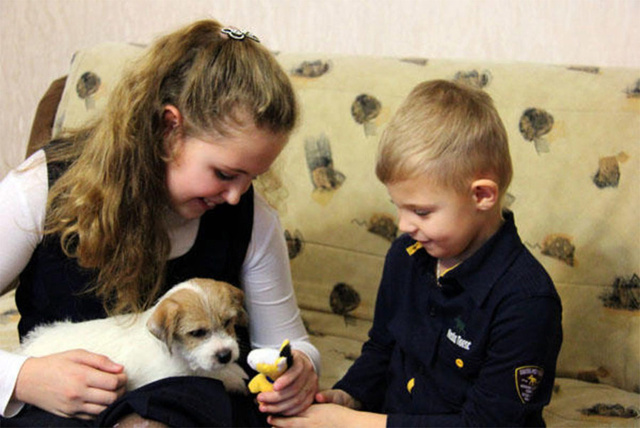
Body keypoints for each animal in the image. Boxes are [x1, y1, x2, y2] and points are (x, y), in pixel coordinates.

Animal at [20, 278, 250, 394]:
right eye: (197, 333)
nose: (225, 356)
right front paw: (233, 375)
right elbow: (205, 375)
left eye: (228, 322)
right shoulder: (169, 376)